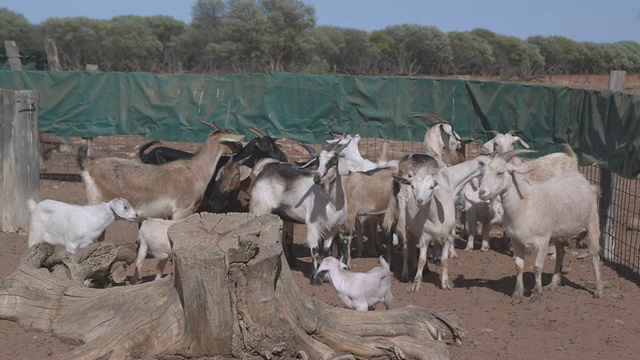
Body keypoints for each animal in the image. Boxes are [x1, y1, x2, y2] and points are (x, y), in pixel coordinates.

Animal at [250, 140, 350, 284]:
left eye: (333, 161)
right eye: (318, 161)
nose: (317, 178)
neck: (330, 202)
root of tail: (265, 168)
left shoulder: (332, 228)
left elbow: (327, 251)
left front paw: (326, 276)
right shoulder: (313, 225)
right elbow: (315, 251)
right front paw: (314, 279)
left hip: (283, 216)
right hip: (261, 209)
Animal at [478, 149, 604, 304]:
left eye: (500, 172)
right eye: (483, 172)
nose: (481, 192)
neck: (524, 204)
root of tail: (585, 181)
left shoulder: (542, 241)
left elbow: (537, 268)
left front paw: (536, 294)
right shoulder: (516, 241)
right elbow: (518, 267)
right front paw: (517, 295)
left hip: (592, 223)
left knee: (594, 255)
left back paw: (598, 290)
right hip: (559, 234)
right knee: (561, 254)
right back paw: (553, 284)